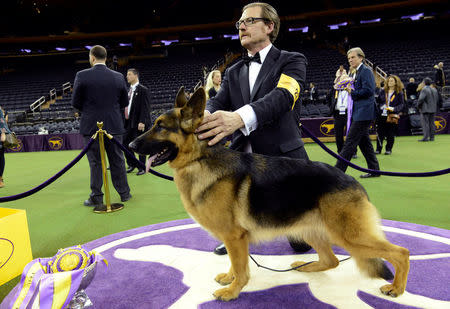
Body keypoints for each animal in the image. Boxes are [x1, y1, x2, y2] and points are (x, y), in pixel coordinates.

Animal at [128, 86, 410, 300]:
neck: (200, 158)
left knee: (401, 252)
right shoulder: (234, 240)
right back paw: (307, 266)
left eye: (160, 127)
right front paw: (229, 278)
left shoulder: (235, 236)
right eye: (153, 125)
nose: (130, 144)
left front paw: (233, 291)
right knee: (331, 260)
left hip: (350, 235)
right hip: (311, 230)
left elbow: (242, 268)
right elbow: (235, 263)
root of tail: (352, 181)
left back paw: (397, 288)